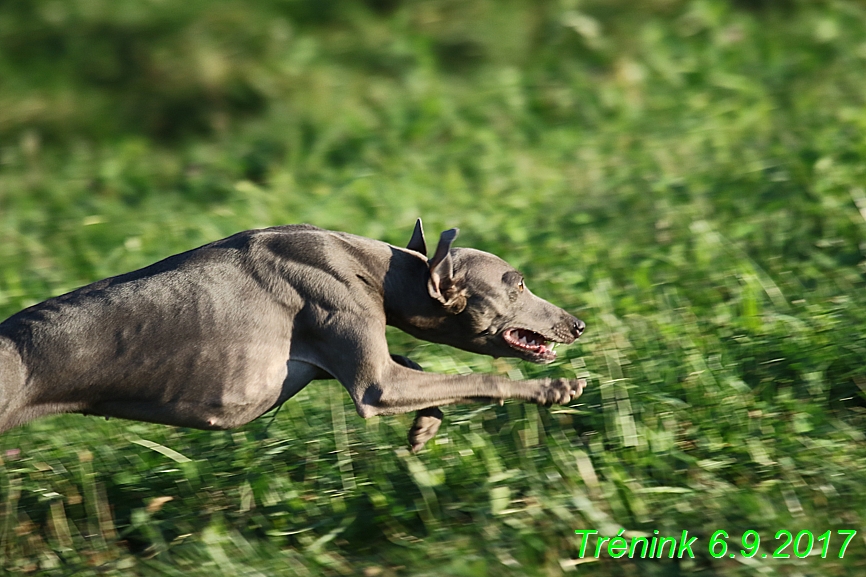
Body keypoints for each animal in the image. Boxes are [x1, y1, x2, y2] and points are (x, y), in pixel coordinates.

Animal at [0, 219, 584, 450]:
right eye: (518, 283)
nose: (577, 324)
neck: (377, 270)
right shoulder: (374, 384)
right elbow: (480, 377)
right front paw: (555, 389)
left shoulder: (343, 362)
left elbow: (421, 368)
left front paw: (425, 426)